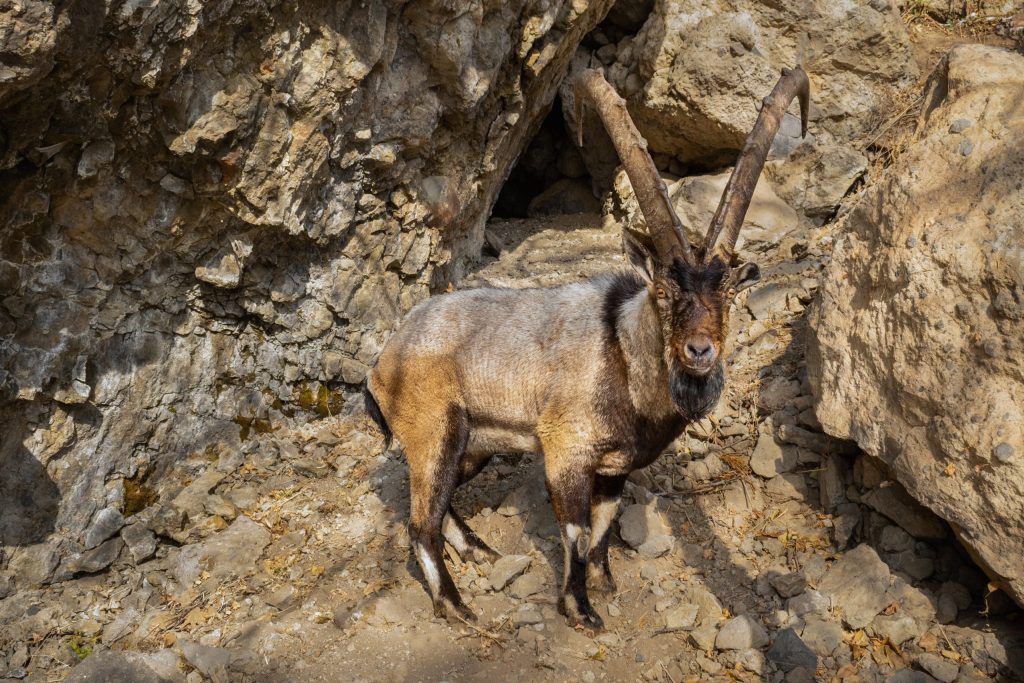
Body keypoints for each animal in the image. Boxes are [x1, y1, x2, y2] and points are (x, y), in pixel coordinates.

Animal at [364, 66, 810, 630]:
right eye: (664, 292)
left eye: (729, 293)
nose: (700, 351)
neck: (622, 356)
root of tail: (381, 363)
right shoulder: (566, 450)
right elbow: (574, 533)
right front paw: (579, 608)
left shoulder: (614, 467)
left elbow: (603, 524)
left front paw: (603, 581)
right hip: (433, 430)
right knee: (420, 520)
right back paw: (456, 605)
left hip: (472, 444)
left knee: (437, 504)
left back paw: (478, 550)